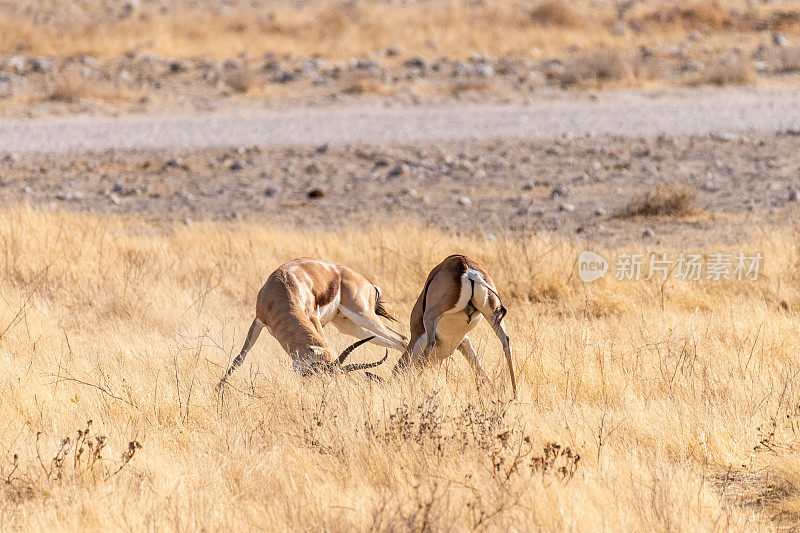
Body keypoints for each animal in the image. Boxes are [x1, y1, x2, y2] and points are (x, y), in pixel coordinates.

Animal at [217, 256, 406, 384]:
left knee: (401, 339)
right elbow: (239, 358)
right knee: (397, 341)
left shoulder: (313, 317)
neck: (283, 287)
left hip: (363, 315)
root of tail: (369, 283)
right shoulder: (258, 321)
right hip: (348, 324)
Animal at [396, 256, 520, 396]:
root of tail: (464, 265)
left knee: (430, 344)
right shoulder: (464, 342)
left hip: (431, 316)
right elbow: (479, 367)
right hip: (492, 314)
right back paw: (515, 394)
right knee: (506, 342)